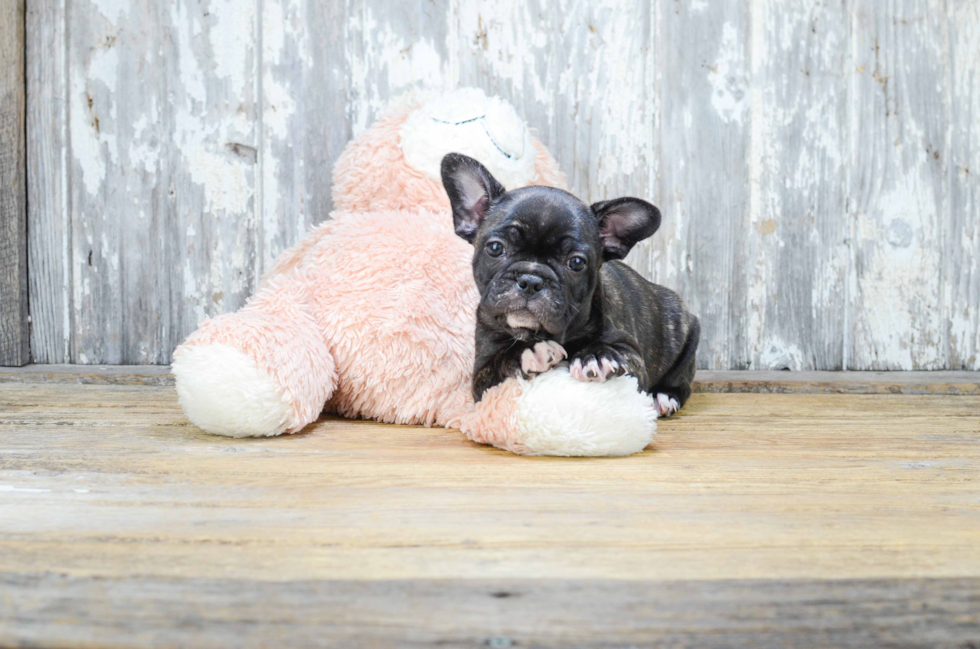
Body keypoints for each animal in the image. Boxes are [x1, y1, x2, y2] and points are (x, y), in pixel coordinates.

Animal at [440, 153, 700, 418]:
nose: (531, 279)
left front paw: (595, 355)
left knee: (681, 383)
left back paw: (664, 397)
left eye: (576, 263)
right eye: (495, 248)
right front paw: (526, 352)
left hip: (687, 338)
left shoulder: (632, 356)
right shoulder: (481, 375)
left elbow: (620, 353)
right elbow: (498, 363)